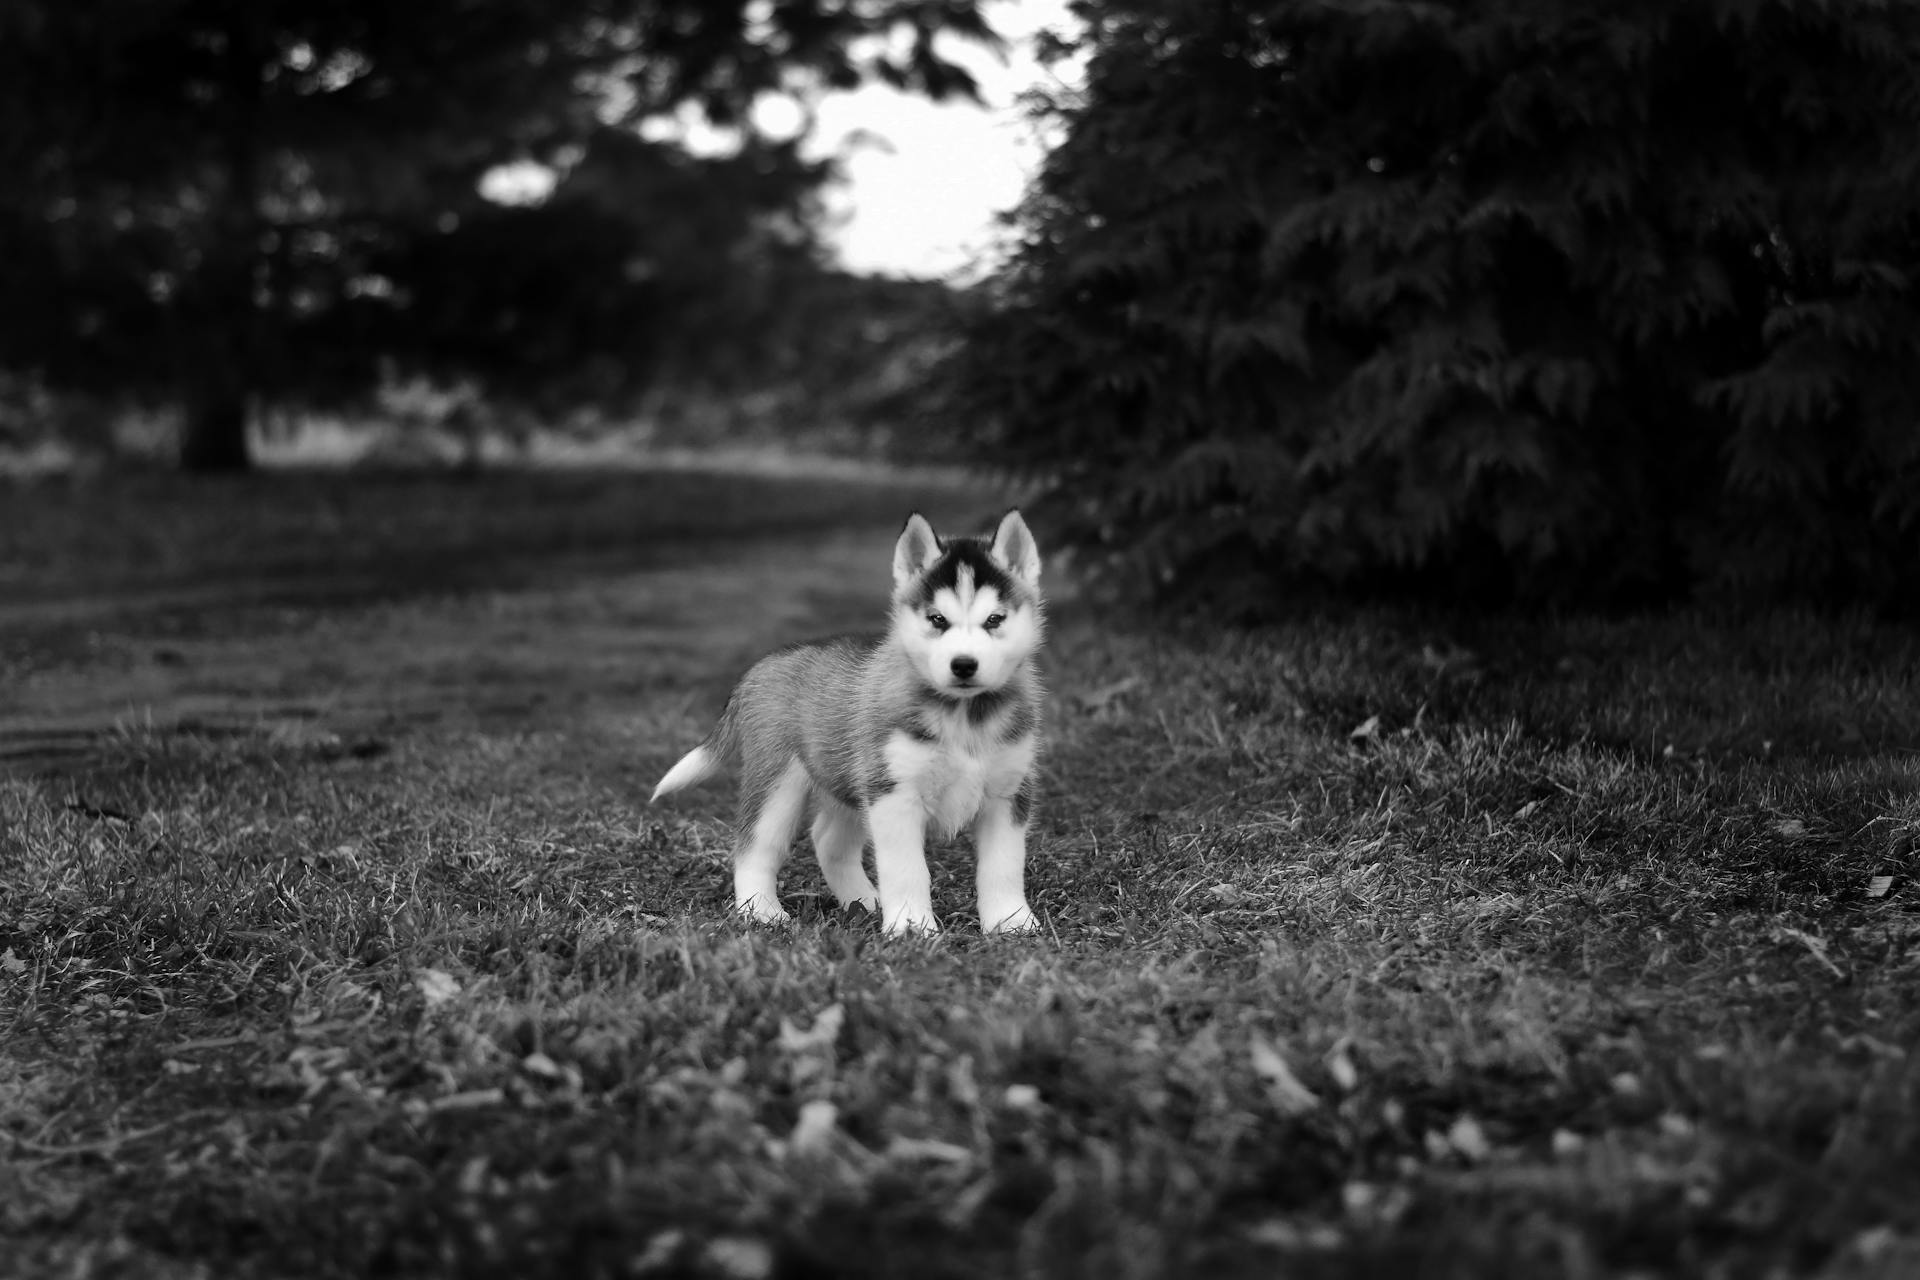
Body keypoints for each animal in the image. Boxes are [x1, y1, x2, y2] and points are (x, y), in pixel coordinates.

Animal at [656, 510, 1052, 940]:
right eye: (937, 620)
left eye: (995, 619)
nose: (963, 665)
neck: (963, 714)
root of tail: (763, 664)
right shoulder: (893, 794)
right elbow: (908, 869)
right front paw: (912, 927)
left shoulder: (1008, 793)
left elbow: (1003, 866)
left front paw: (1011, 922)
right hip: (778, 781)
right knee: (754, 846)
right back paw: (761, 912)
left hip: (845, 780)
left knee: (828, 841)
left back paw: (865, 902)